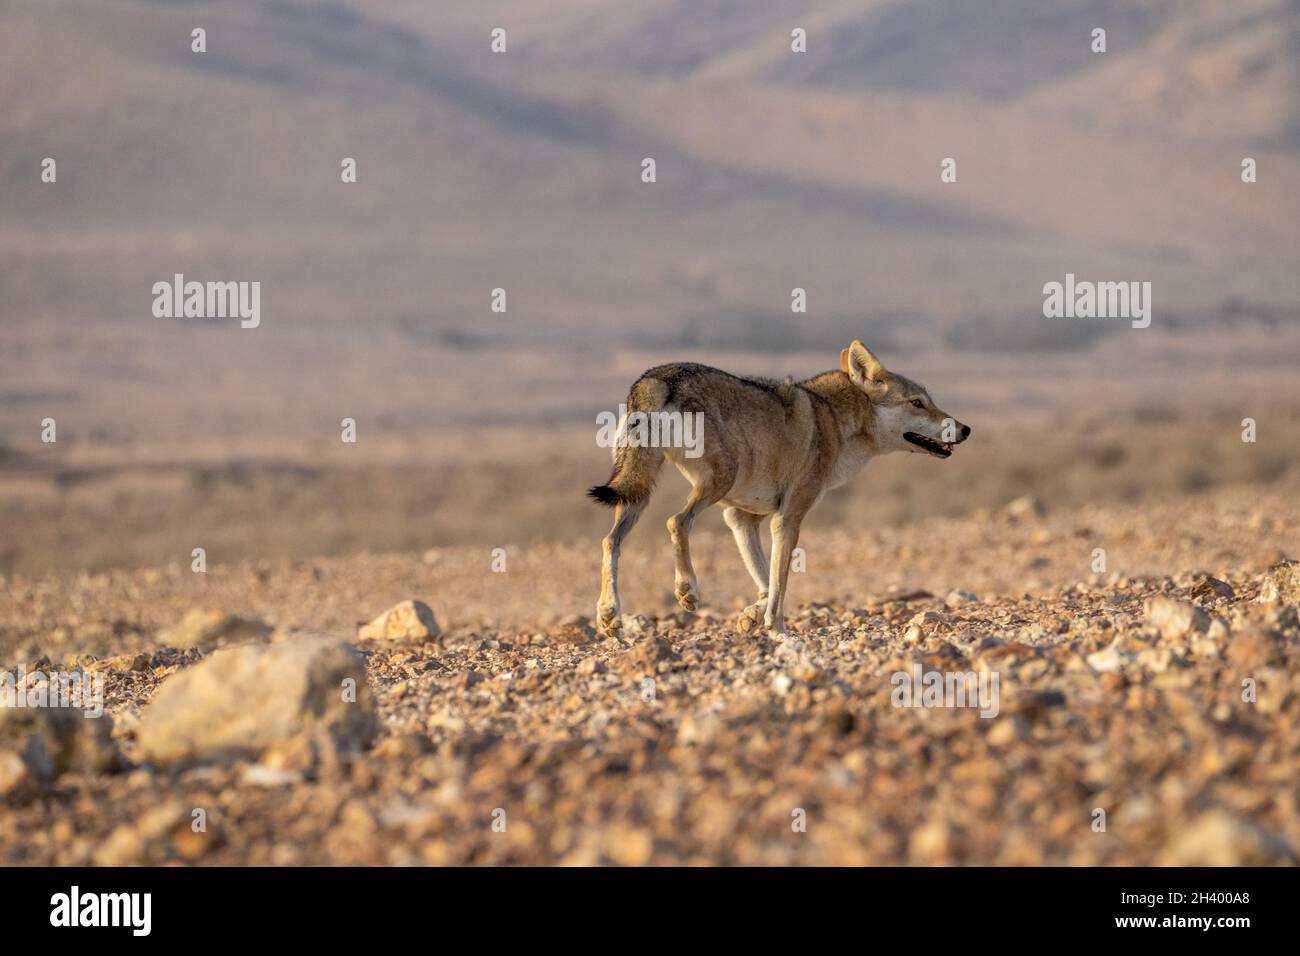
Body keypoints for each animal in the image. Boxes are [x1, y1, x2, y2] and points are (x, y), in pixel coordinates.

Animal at [587, 340, 967, 639]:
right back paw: (687, 591)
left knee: (610, 541)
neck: (832, 419)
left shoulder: (742, 517)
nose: (965, 429)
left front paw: (751, 616)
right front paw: (777, 629)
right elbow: (780, 583)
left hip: (638, 491)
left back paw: (608, 615)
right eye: (917, 402)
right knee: (676, 522)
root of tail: (656, 377)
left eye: (928, 401)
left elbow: (766, 581)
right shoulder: (787, 518)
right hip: (716, 480)